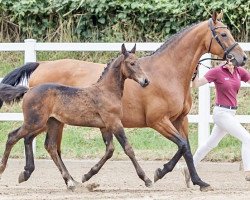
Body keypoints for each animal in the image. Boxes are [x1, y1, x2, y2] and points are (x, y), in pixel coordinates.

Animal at [0, 44, 151, 191]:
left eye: (139, 62)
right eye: (132, 63)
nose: (146, 81)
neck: (106, 91)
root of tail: (28, 90)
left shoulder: (104, 126)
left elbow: (110, 150)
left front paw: (87, 176)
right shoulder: (114, 123)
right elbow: (128, 148)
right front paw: (146, 179)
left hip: (52, 123)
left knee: (49, 146)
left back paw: (68, 181)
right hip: (35, 122)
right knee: (13, 136)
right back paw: (4, 169)